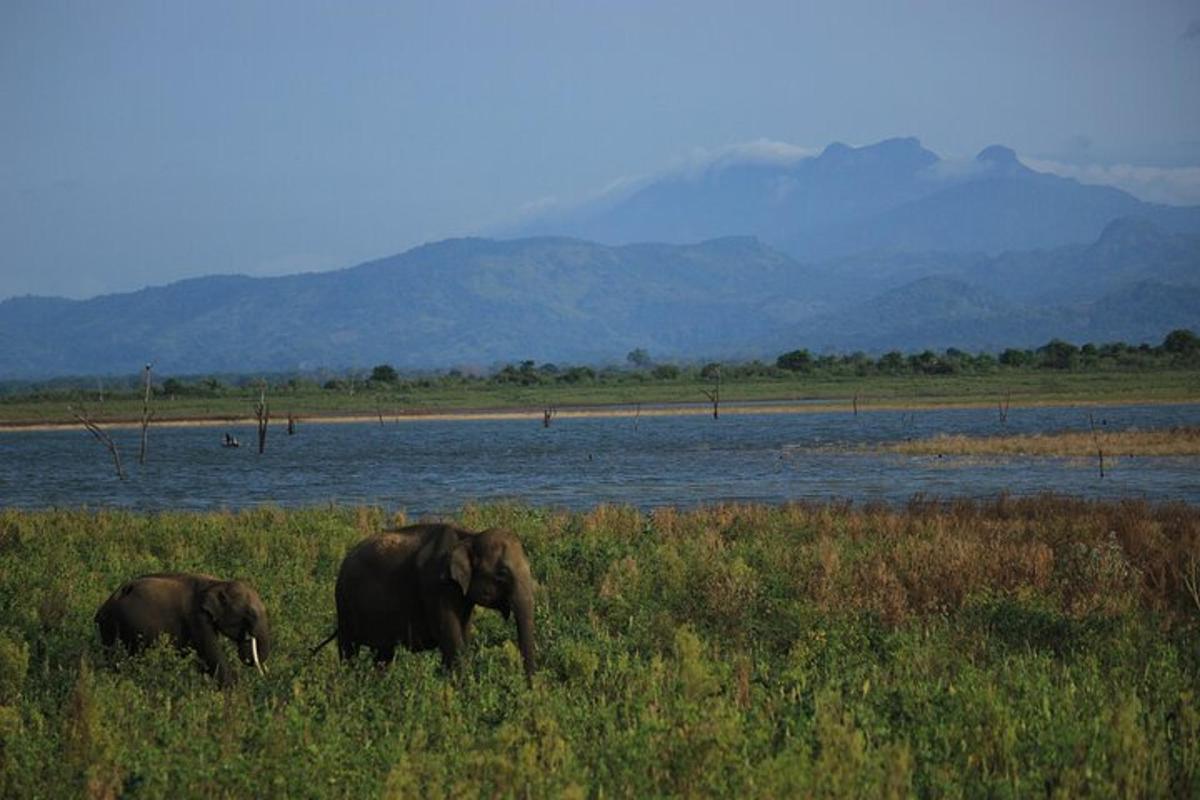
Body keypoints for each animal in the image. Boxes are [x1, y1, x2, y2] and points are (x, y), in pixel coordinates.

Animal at [314, 525, 535, 681]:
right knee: (349, 649)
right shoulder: (436, 587)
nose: (530, 688)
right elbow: (452, 640)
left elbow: (463, 636)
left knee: (384, 655)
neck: (469, 536)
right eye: (502, 574)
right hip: (344, 603)